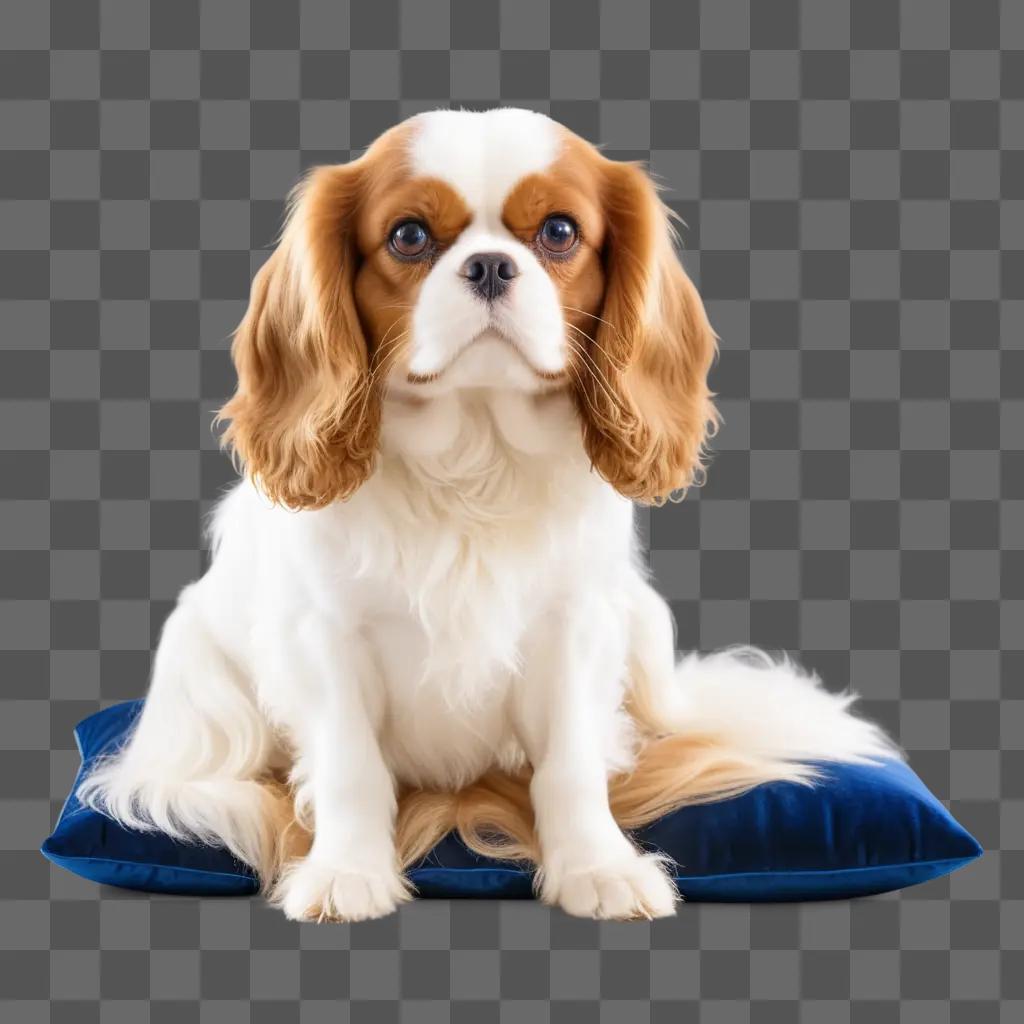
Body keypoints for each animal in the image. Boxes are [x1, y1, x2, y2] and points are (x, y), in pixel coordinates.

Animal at [79, 110, 897, 921]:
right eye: (408, 236)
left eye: (560, 231)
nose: (491, 267)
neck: (476, 450)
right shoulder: (324, 637)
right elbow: (349, 764)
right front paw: (347, 873)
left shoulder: (577, 628)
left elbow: (571, 763)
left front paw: (597, 868)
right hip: (199, 677)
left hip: (643, 625)